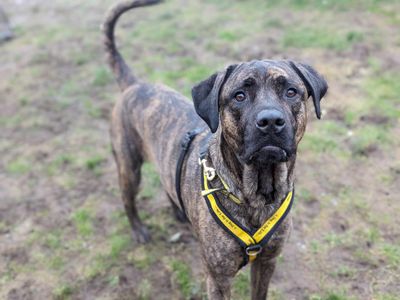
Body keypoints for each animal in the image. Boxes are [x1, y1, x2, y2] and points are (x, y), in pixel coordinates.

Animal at [103, 0, 328, 298]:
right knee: (128, 199)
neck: (258, 195)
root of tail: (136, 84)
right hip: (129, 166)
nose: (270, 121)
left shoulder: (268, 262)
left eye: (291, 91)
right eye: (239, 96)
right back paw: (139, 230)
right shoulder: (218, 278)